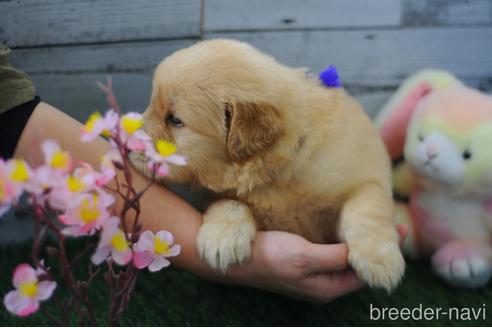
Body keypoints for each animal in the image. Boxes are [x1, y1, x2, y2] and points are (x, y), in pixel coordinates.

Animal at [131, 39, 404, 292]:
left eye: (175, 120)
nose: (126, 137)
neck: (276, 172)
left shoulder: (365, 176)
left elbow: (367, 209)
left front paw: (381, 262)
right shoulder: (217, 194)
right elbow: (229, 202)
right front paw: (222, 240)